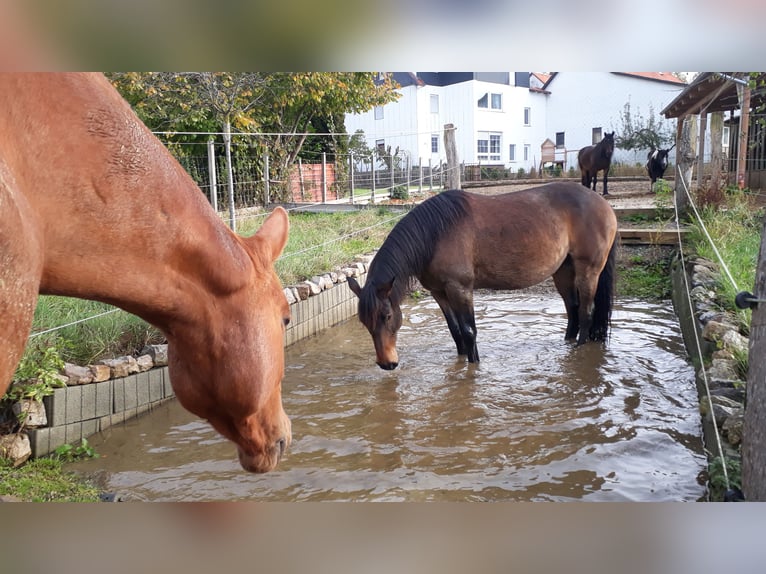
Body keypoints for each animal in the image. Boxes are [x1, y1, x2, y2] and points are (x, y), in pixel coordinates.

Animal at [348, 184, 616, 374]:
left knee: (586, 312)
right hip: (563, 272)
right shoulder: (439, 292)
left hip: (589, 271)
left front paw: (473, 367)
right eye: (364, 322)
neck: (435, 234)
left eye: (387, 316)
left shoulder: (460, 289)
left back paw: (579, 351)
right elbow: (455, 330)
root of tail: (603, 204)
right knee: (572, 309)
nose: (386, 364)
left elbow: (469, 331)